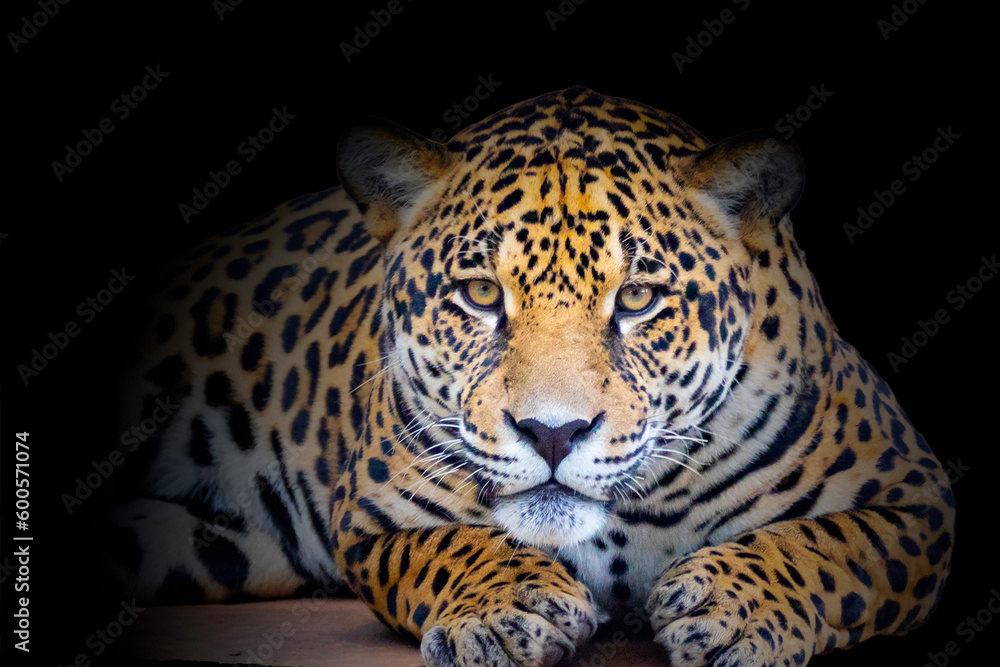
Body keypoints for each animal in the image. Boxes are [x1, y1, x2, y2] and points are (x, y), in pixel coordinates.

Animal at [101, 86, 955, 667]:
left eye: (637, 298)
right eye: (482, 293)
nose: (553, 431)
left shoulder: (918, 496)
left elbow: (831, 544)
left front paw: (735, 606)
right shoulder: (371, 517)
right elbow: (446, 543)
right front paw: (508, 606)